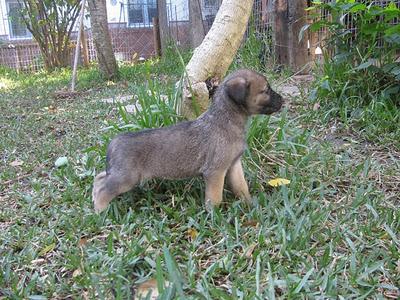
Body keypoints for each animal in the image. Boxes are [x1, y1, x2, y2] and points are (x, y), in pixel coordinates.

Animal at [92, 69, 282, 212]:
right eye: (265, 90)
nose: (282, 100)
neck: (226, 119)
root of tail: (113, 142)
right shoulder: (215, 171)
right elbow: (215, 197)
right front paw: (214, 215)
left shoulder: (234, 165)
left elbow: (241, 187)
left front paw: (250, 204)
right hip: (126, 178)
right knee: (104, 189)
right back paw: (101, 211)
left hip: (119, 174)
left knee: (99, 178)